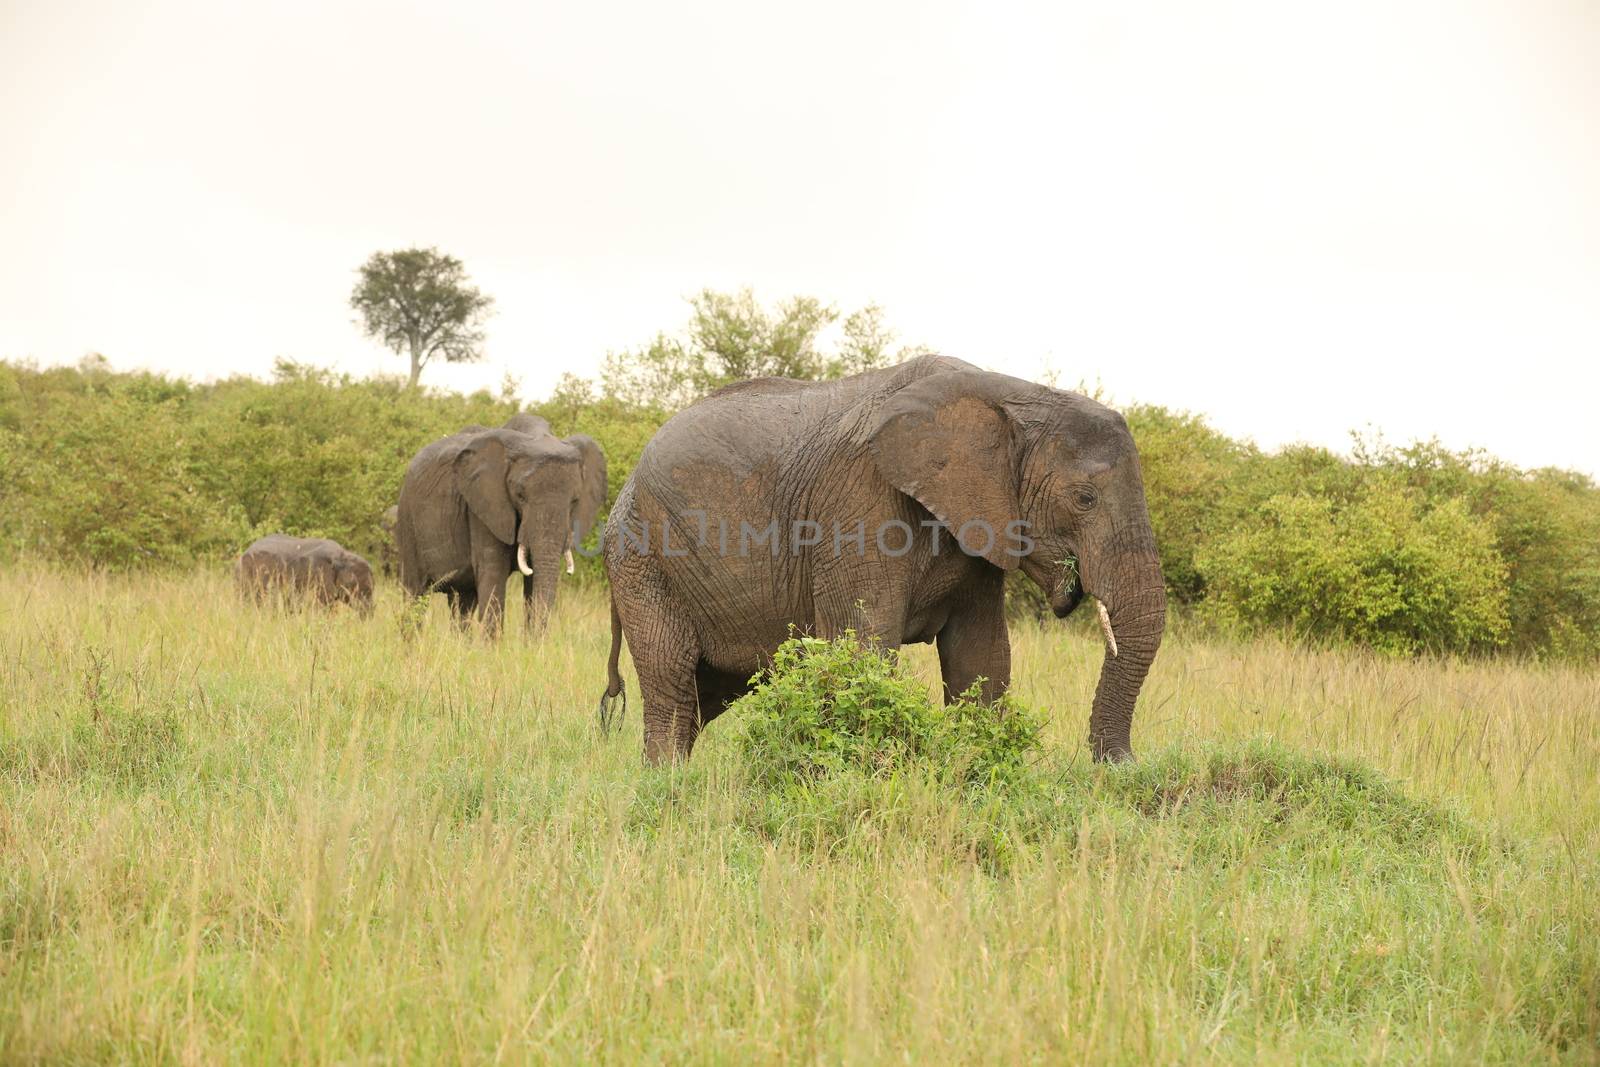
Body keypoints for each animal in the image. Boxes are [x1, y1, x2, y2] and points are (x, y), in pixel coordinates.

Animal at [395, 415, 604, 633]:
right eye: (520, 496)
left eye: (575, 501)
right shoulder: (485, 505)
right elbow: (493, 575)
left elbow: (533, 579)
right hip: (407, 520)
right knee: (414, 593)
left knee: (462, 601)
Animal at [601, 358, 1164, 767]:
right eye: (1085, 499)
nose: (1125, 766)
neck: (1012, 395)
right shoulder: (858, 505)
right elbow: (863, 647)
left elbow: (980, 657)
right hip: (642, 560)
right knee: (673, 682)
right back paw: (669, 782)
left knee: (706, 693)